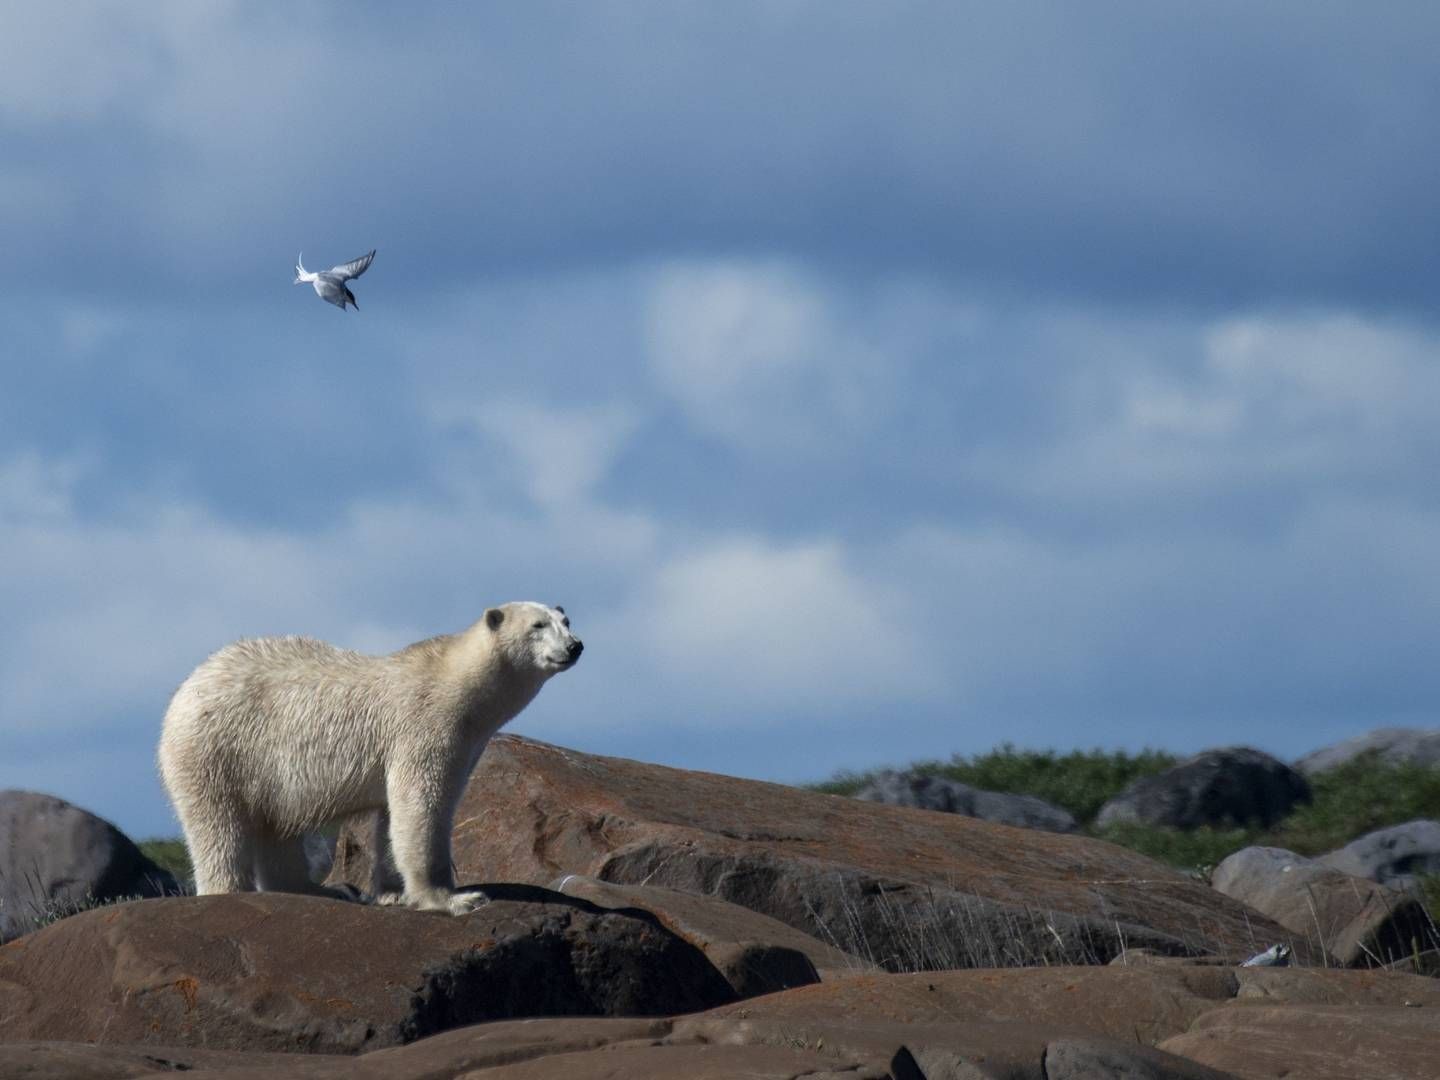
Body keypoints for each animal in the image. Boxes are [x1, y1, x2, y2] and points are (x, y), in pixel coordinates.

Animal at [154, 604, 581, 915]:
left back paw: (323, 890)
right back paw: (230, 890)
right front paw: (454, 898)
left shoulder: (461, 743)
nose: (575, 646)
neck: (455, 682)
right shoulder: (425, 727)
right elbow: (421, 807)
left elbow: (393, 817)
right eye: (538, 625)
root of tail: (184, 690)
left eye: (565, 620)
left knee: (275, 827)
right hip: (217, 749)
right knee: (219, 827)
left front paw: (393, 893)